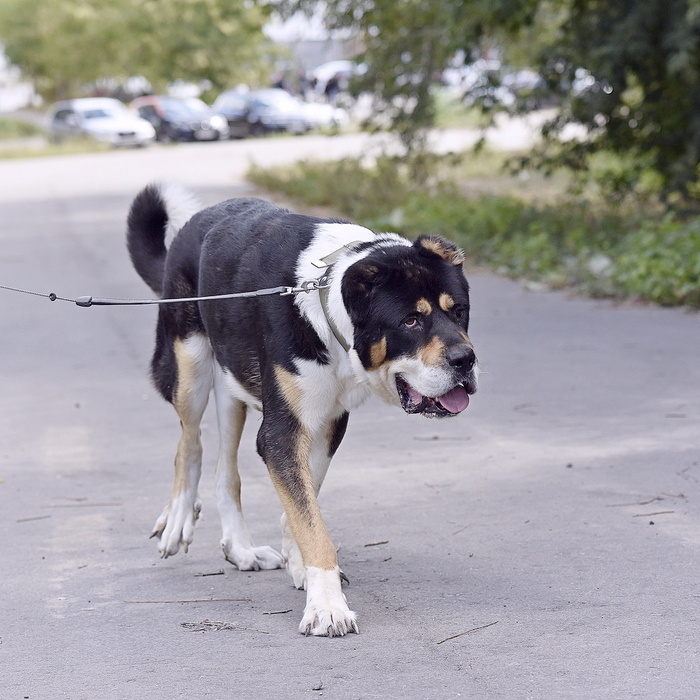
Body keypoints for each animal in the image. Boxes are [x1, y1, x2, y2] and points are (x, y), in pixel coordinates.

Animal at [126, 183, 478, 636]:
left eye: (459, 310)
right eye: (410, 322)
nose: (465, 361)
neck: (324, 304)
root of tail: (198, 220)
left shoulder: (328, 423)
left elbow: (303, 504)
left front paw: (300, 568)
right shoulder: (282, 432)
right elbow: (311, 522)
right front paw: (327, 606)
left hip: (231, 384)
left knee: (226, 471)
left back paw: (241, 550)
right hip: (189, 363)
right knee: (189, 443)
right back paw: (178, 521)